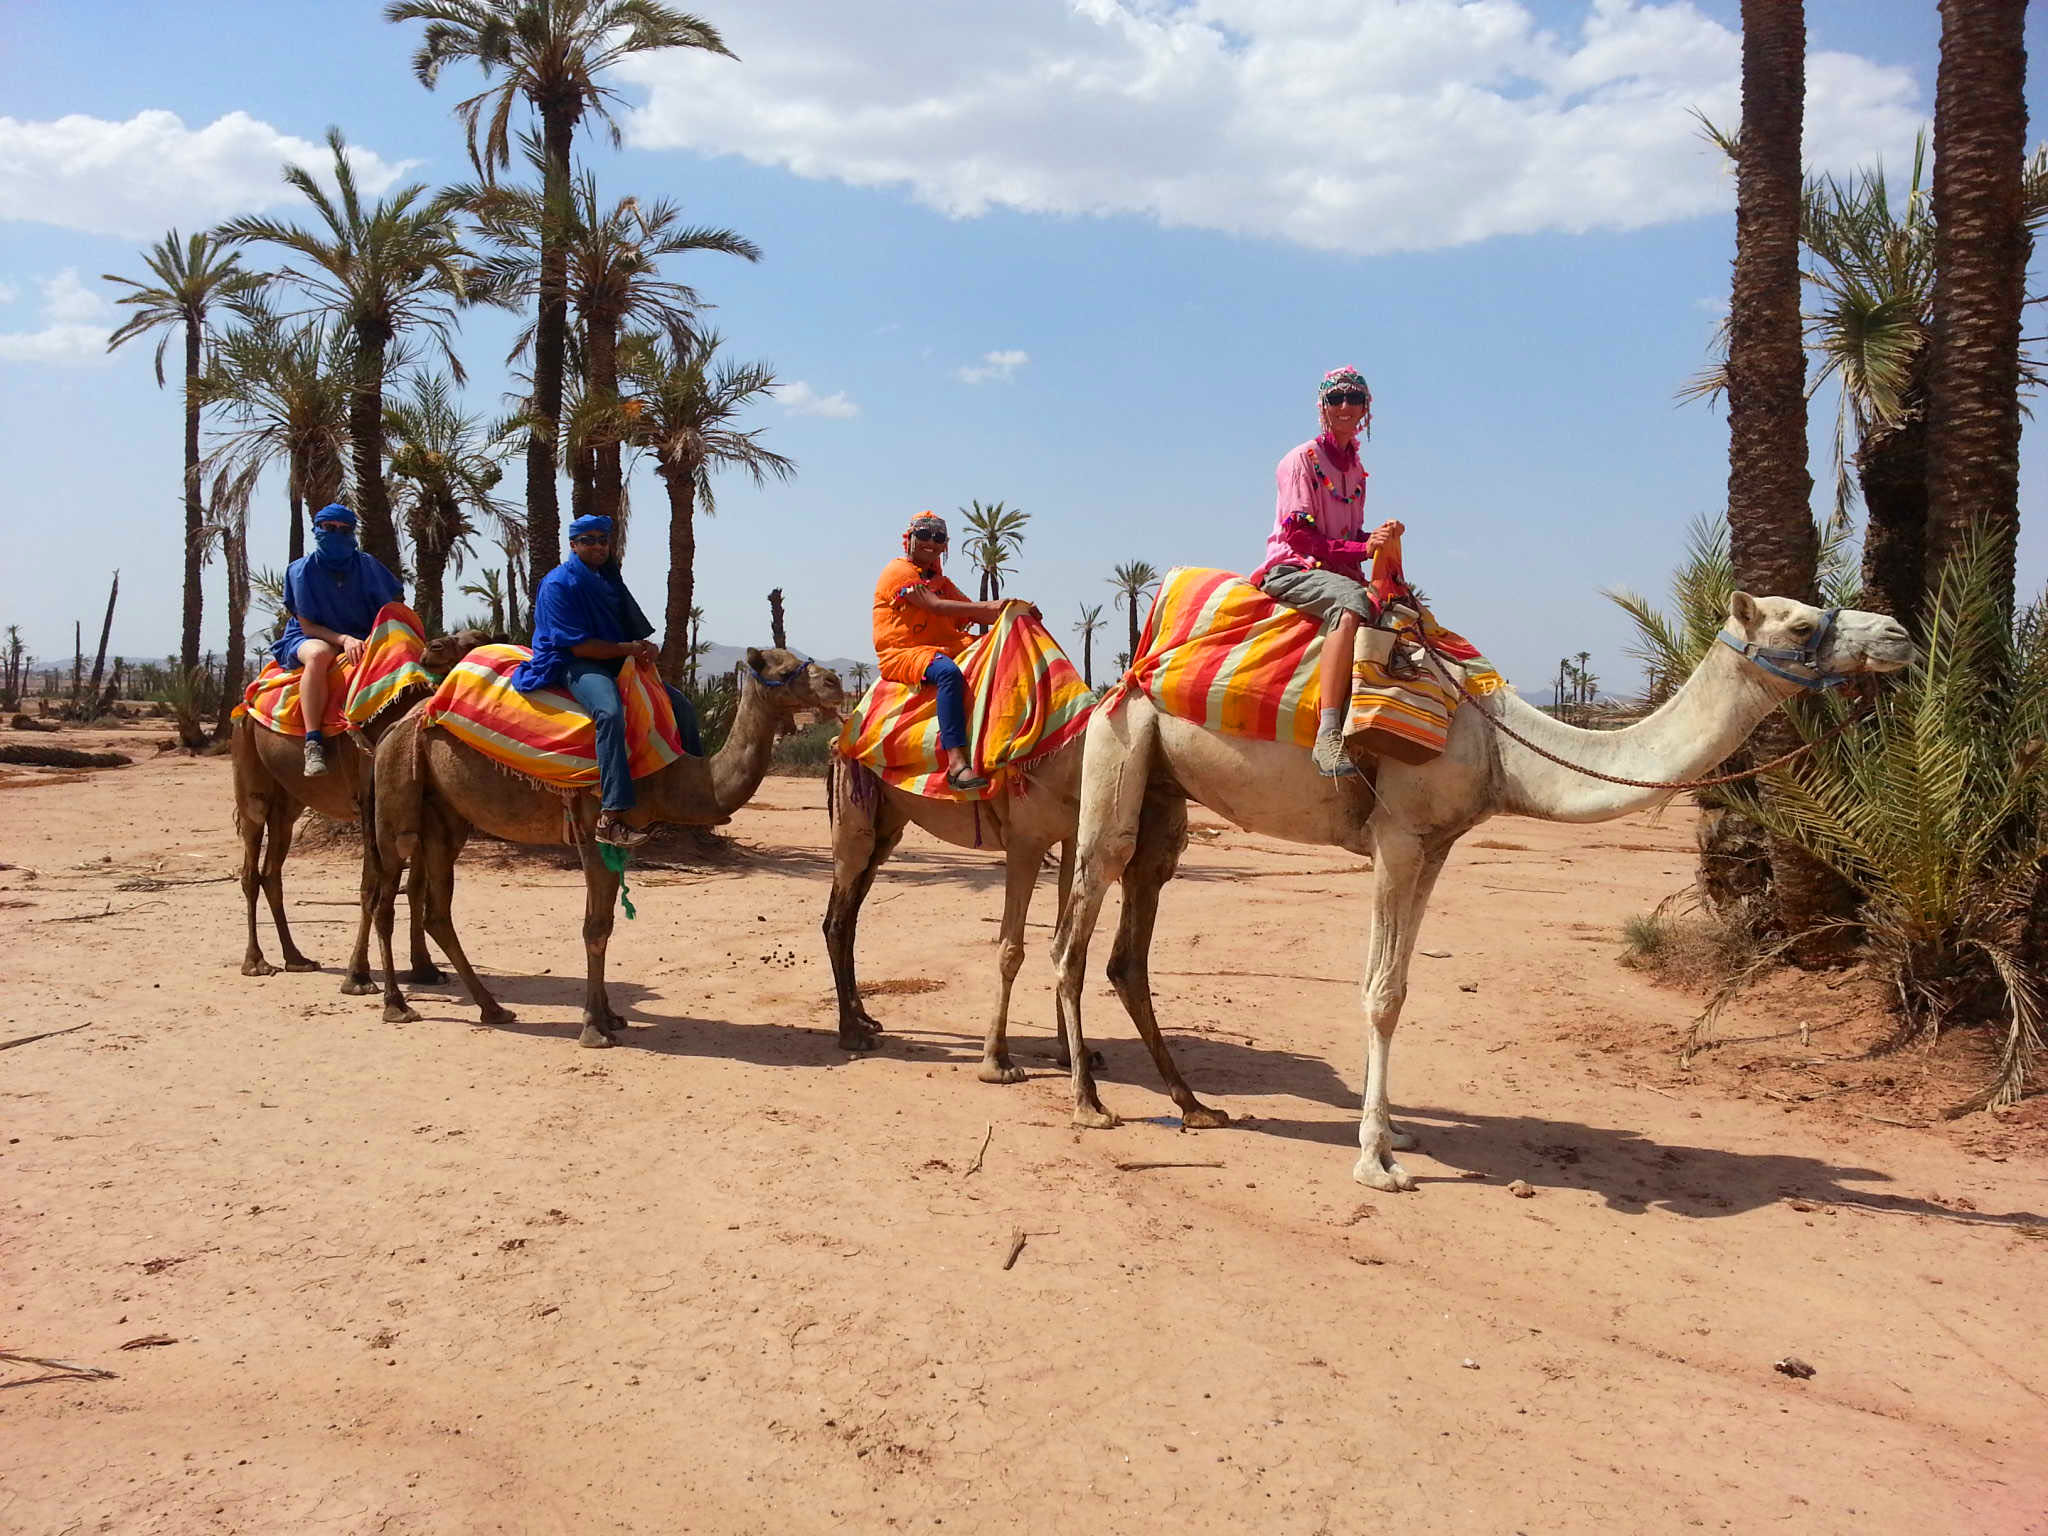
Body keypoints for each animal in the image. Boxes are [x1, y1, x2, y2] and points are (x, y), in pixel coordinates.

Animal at [233, 630, 487, 991]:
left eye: (479, 639)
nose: (434, 648)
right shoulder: (369, 805)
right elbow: (372, 886)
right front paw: (358, 976)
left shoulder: (417, 812)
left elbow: (415, 888)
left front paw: (425, 969)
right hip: (249, 772)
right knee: (251, 863)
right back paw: (256, 962)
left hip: (288, 802)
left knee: (272, 870)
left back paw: (296, 958)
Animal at [372, 651, 843, 1048]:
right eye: (786, 669)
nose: (836, 681)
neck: (666, 776)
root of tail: (396, 727)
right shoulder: (593, 832)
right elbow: (594, 928)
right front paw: (593, 1029)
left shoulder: (620, 842)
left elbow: (606, 924)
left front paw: (610, 1016)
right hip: (395, 796)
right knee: (384, 898)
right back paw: (396, 1005)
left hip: (445, 817)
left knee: (437, 912)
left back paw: (493, 1008)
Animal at [1056, 593, 1916, 1196]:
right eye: (1799, 625)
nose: (1899, 635)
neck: (1504, 748)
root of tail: (1123, 676)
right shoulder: (1398, 836)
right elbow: (1378, 993)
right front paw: (1376, 1162)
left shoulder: (1437, 846)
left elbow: (1403, 987)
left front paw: (1392, 1133)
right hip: (1118, 756)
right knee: (1076, 931)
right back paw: (1089, 1100)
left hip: (1166, 794)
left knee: (1130, 946)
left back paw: (1194, 1105)